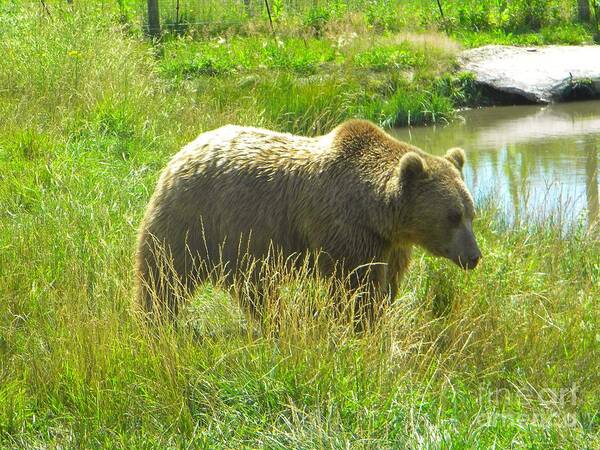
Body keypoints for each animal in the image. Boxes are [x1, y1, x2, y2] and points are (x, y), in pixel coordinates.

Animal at [134, 119, 480, 324]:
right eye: (452, 215)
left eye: (471, 213)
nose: (474, 256)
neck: (376, 212)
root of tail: (184, 151)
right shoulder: (345, 232)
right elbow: (354, 286)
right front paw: (358, 322)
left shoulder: (388, 243)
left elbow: (386, 284)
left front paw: (379, 314)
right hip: (196, 219)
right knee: (164, 275)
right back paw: (156, 320)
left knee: (252, 288)